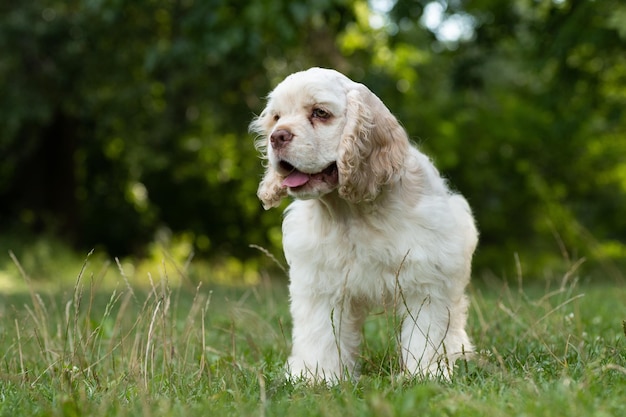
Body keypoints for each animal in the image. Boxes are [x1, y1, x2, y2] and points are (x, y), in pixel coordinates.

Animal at [249, 66, 478, 382]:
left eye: (320, 113)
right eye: (276, 117)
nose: (277, 137)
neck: (351, 211)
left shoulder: (426, 280)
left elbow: (426, 333)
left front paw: (426, 374)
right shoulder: (321, 285)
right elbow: (321, 335)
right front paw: (318, 376)